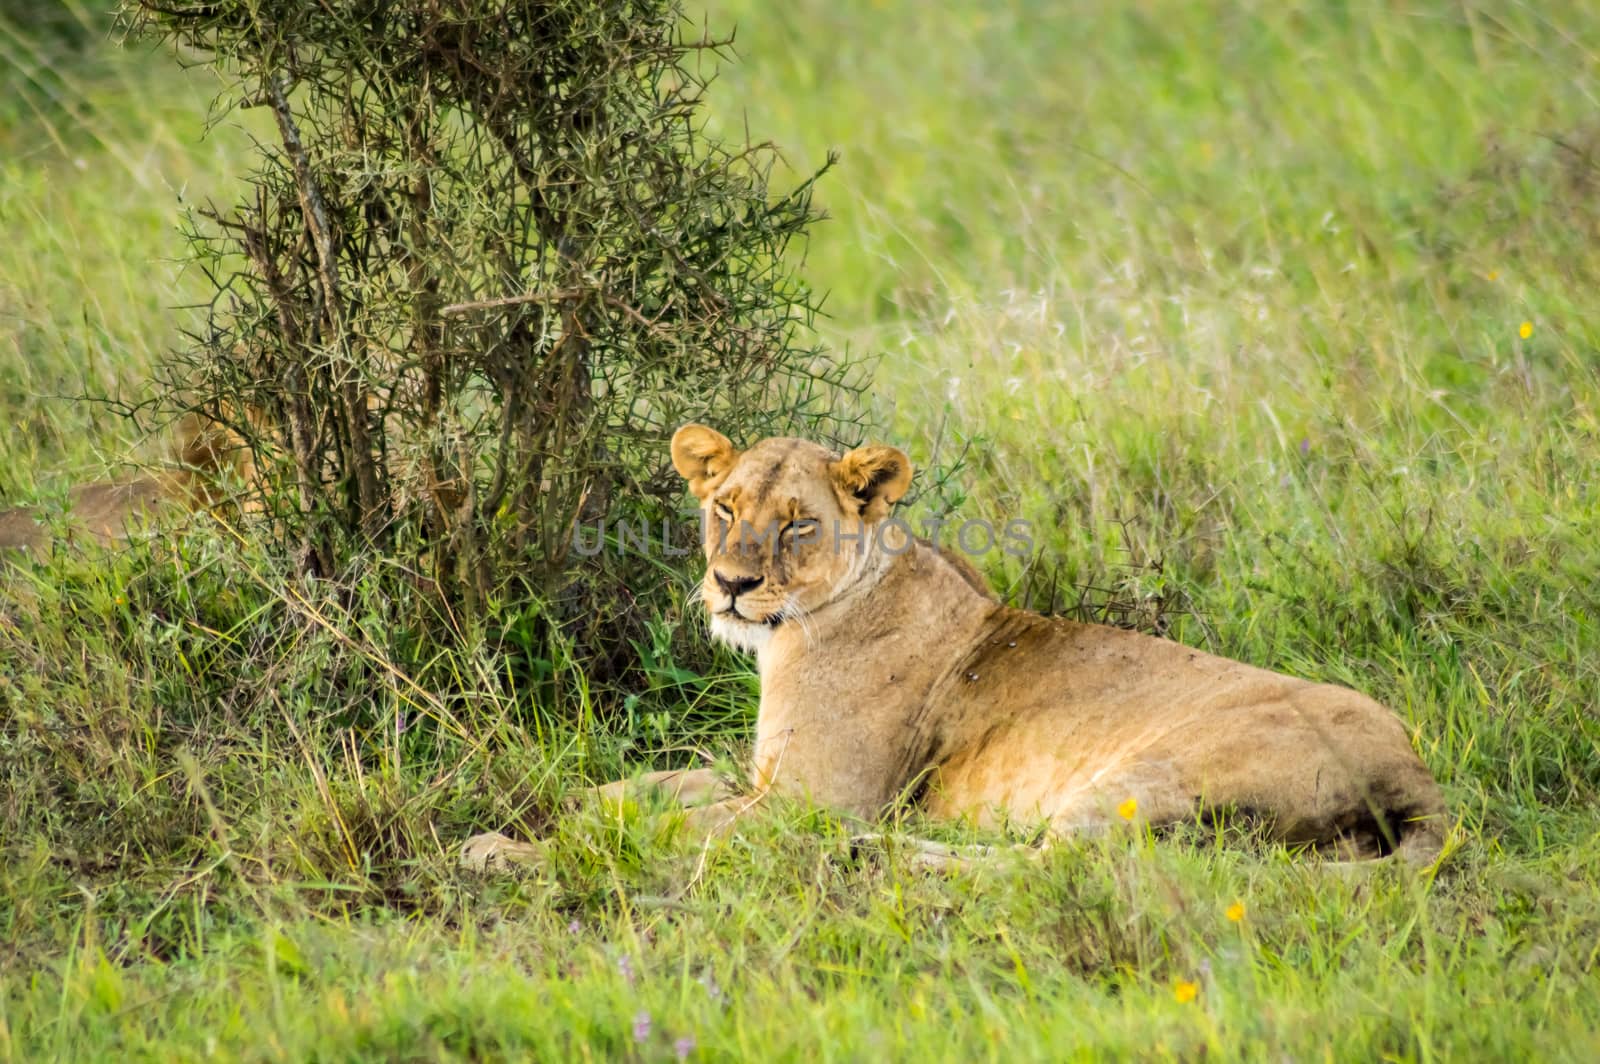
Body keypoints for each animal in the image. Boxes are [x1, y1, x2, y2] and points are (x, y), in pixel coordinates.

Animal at [460, 425, 1452, 870]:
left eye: (798, 525)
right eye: (725, 508)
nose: (732, 586)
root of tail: (1418, 773)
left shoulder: (812, 803)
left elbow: (663, 835)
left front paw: (511, 849)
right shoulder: (763, 777)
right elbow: (654, 789)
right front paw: (563, 807)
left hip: (1147, 772)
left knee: (1057, 869)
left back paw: (892, 857)